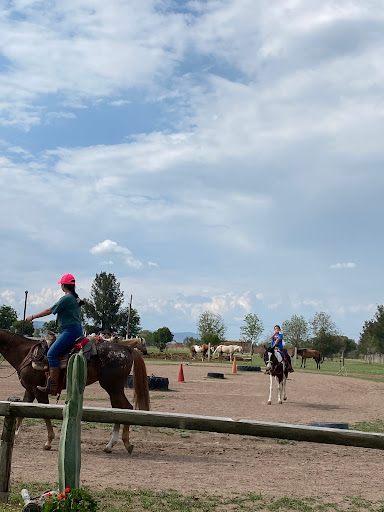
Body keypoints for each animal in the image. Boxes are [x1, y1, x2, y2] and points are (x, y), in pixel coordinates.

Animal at [0, 328, 150, 452]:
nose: (146, 351)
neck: (25, 353)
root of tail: (127, 350)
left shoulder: (39, 391)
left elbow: (44, 413)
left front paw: (48, 441)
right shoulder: (30, 390)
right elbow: (21, 413)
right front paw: (15, 436)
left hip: (113, 388)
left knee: (125, 408)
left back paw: (117, 444)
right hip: (114, 389)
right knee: (121, 409)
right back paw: (115, 444)